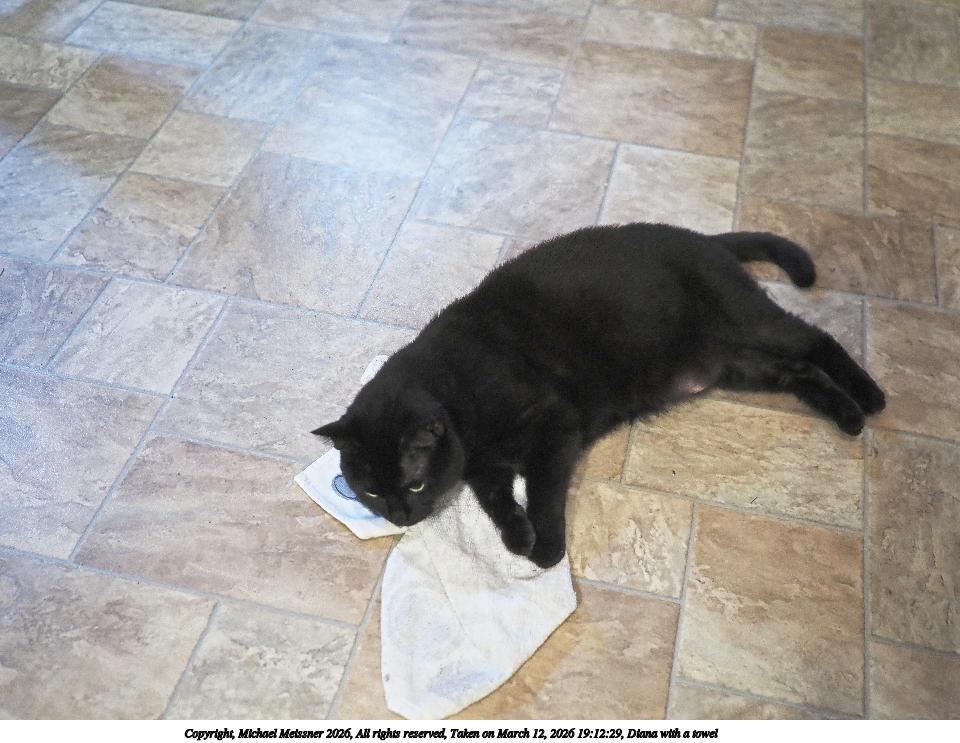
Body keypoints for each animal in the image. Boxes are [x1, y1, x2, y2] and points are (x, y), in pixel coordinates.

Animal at [312, 223, 885, 568]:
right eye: (369, 491)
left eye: (412, 485)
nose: (399, 517)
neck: (454, 389)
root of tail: (704, 237)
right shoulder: (484, 466)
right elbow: (496, 499)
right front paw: (516, 537)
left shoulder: (553, 428)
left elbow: (541, 493)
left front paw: (546, 549)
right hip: (738, 365)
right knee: (798, 373)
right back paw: (848, 414)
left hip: (751, 323)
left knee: (817, 340)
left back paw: (870, 399)